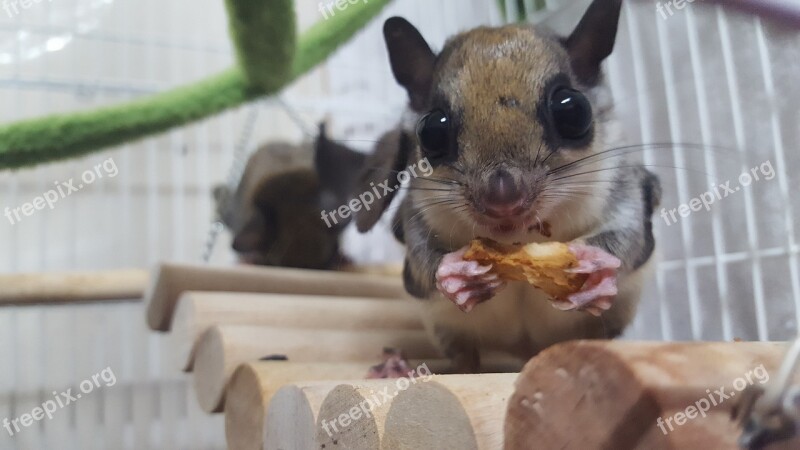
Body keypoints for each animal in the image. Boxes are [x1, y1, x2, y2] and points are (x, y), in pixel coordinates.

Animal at [354, 0, 660, 372]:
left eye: (573, 110)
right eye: (431, 130)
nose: (503, 199)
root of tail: (524, 351)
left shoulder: (626, 187)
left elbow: (628, 234)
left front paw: (596, 264)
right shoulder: (415, 213)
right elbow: (422, 254)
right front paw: (454, 271)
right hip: (446, 328)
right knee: (464, 360)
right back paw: (399, 367)